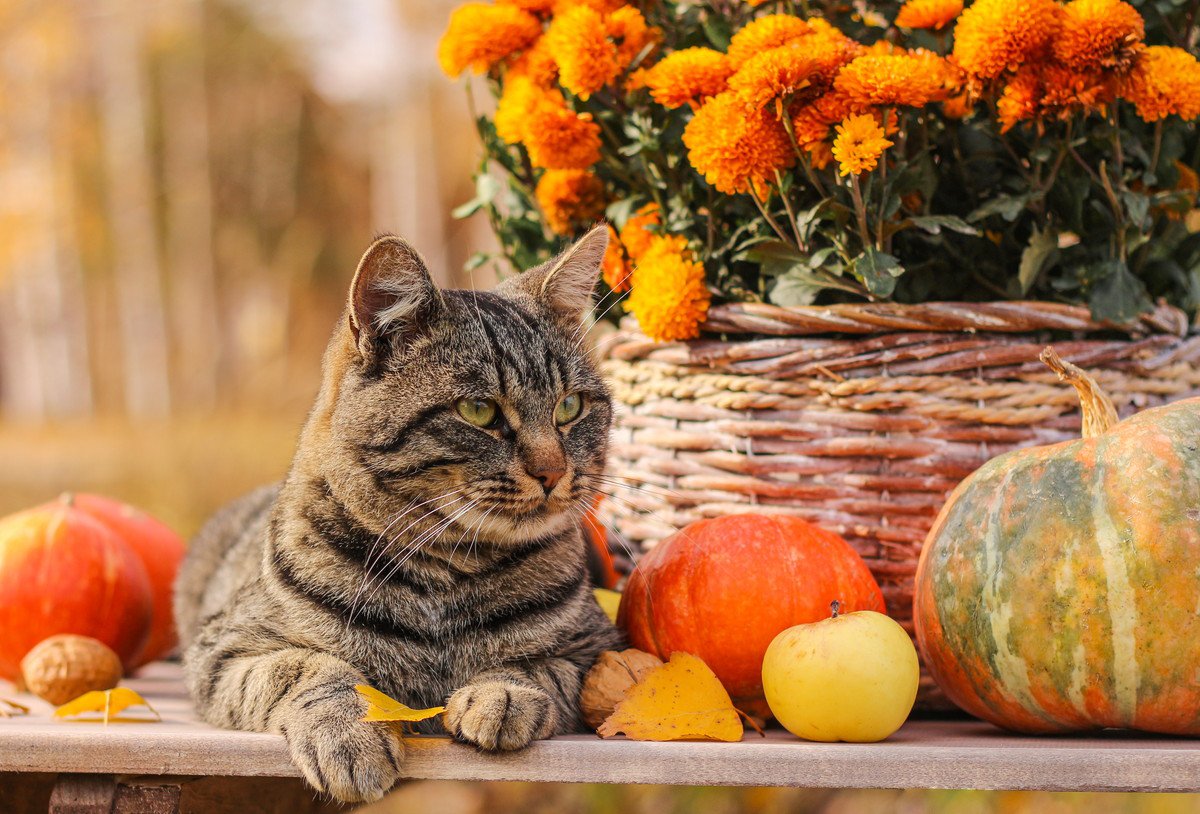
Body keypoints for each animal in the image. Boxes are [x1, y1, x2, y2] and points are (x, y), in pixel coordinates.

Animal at [177, 226, 628, 806]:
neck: (444, 570)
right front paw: (348, 734)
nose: (553, 471)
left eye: (570, 406)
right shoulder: (226, 649)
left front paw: (503, 692)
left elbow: (538, 667)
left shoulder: (601, 652)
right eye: (479, 411)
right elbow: (307, 668)